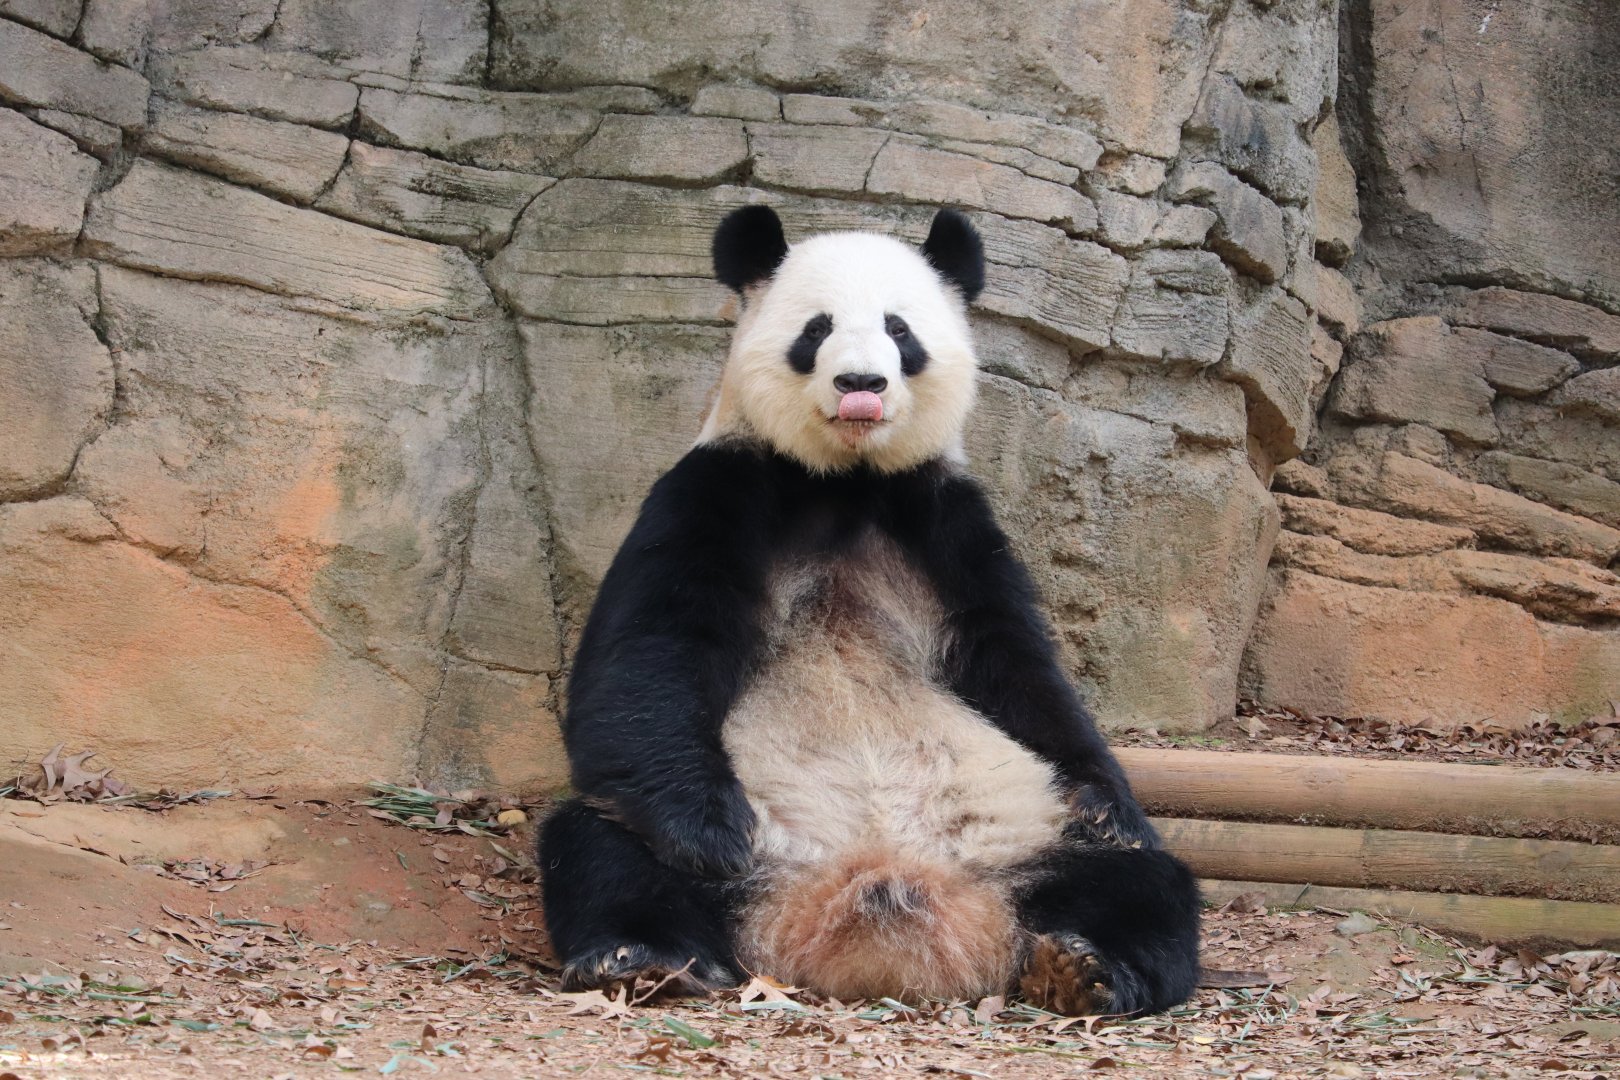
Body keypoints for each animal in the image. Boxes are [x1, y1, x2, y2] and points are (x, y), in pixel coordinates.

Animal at [538, 205, 1202, 1016]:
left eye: (900, 329)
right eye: (817, 329)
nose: (862, 382)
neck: (845, 481)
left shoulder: (945, 520)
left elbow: (1017, 667)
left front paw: (1110, 805)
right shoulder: (718, 486)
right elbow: (650, 650)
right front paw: (708, 833)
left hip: (1025, 837)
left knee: (1141, 882)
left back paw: (1084, 967)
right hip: (736, 849)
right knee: (603, 847)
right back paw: (641, 958)